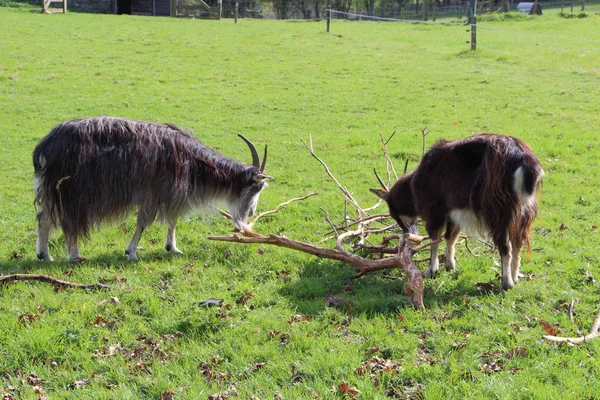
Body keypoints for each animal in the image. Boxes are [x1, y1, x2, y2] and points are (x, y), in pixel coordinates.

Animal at [34, 115, 270, 262]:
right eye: (257, 187)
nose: (251, 213)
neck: (192, 159)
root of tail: (44, 147)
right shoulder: (158, 192)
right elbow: (147, 222)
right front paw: (133, 252)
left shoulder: (166, 194)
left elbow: (170, 220)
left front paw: (170, 248)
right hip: (72, 192)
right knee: (68, 222)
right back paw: (74, 255)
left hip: (53, 191)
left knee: (43, 216)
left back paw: (45, 255)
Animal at [372, 134, 540, 290]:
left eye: (393, 212)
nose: (407, 232)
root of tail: (522, 158)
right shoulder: (454, 210)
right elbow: (450, 236)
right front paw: (449, 264)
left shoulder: (435, 210)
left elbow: (435, 238)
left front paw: (431, 270)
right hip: (524, 211)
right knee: (518, 241)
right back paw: (514, 277)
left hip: (499, 209)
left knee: (506, 246)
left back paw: (506, 283)